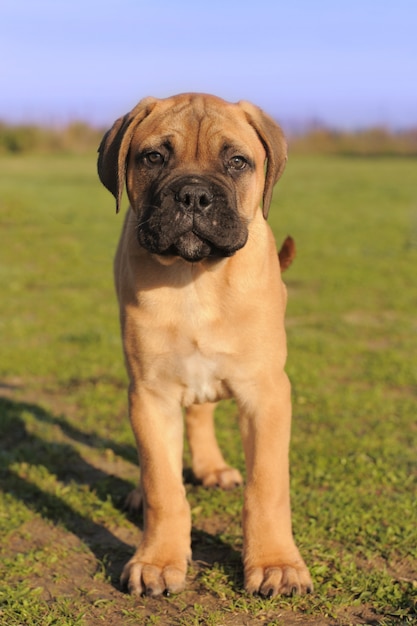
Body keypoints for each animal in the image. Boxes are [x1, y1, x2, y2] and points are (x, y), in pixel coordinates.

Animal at [97, 92, 312, 596]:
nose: (193, 195)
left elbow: (267, 487)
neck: (194, 277)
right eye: (154, 157)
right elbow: (163, 485)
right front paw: (158, 560)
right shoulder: (150, 394)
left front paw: (276, 563)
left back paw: (212, 469)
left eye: (236, 162)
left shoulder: (267, 393)